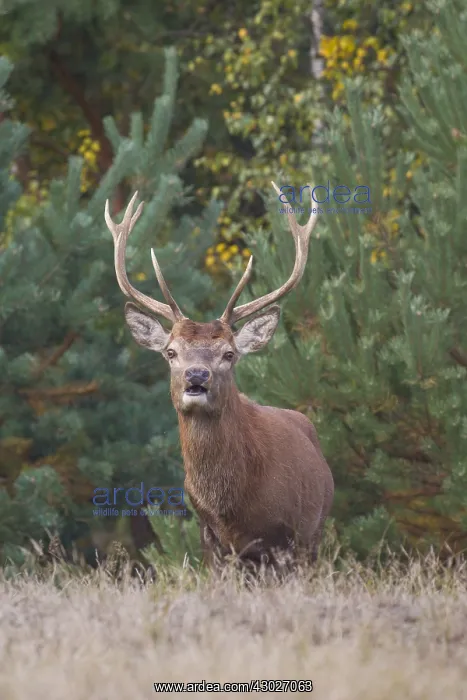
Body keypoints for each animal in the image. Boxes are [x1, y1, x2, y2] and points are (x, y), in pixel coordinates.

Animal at [104, 184, 334, 572]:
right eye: (171, 352)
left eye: (229, 354)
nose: (197, 376)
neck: (231, 508)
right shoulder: (211, 540)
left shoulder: (288, 536)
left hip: (315, 532)